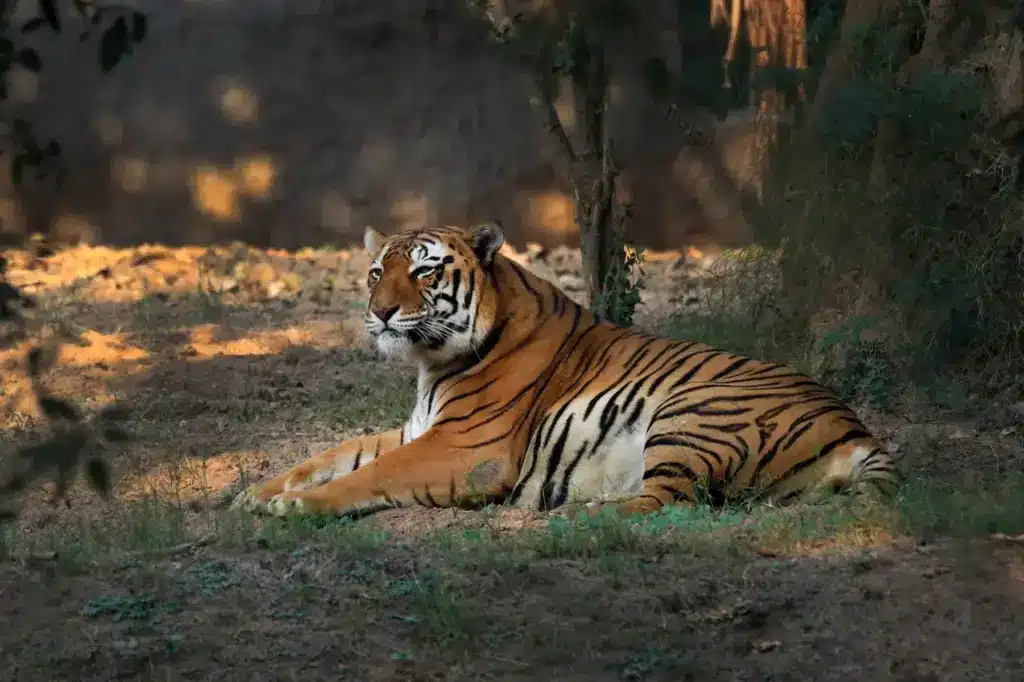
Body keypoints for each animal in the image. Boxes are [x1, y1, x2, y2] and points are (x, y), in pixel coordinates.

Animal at [230, 222, 897, 516]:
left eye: (422, 270)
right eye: (376, 273)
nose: (381, 311)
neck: (430, 365)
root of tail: (859, 431)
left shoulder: (464, 448)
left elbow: (369, 475)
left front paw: (293, 507)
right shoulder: (417, 430)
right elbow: (327, 456)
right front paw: (252, 493)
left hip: (695, 413)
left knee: (667, 501)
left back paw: (573, 515)